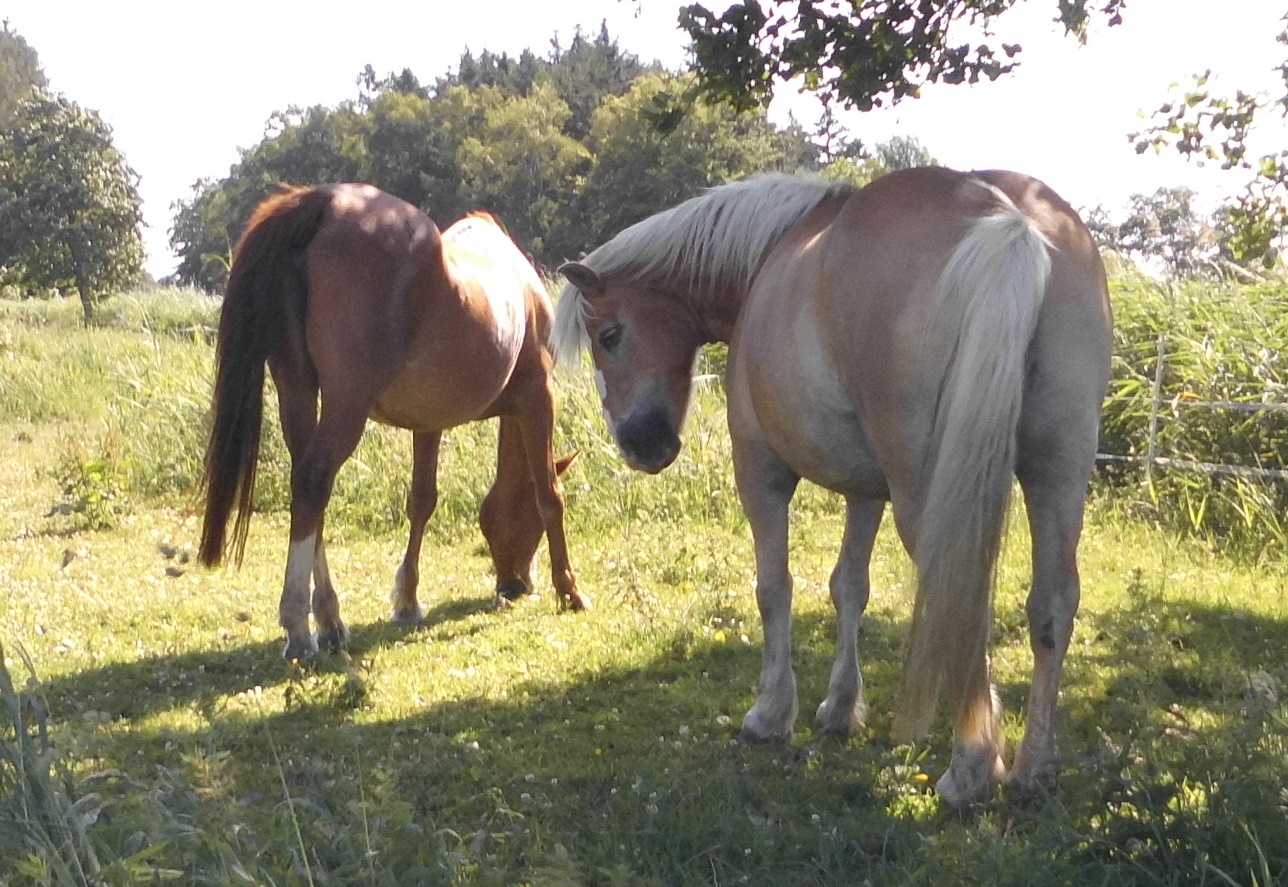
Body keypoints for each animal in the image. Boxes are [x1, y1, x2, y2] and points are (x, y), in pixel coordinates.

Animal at [198, 183, 589, 663]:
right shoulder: (538, 401)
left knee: (307, 489)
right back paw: (300, 628)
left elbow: (422, 500)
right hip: (346, 404)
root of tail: (324, 201)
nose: (514, 586)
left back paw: (329, 618)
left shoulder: (429, 422)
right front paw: (569, 590)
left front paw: (407, 599)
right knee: (313, 479)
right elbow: (549, 494)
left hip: (298, 390)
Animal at [553, 167, 1112, 808]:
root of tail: (1004, 218)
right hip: (1058, 475)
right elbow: (849, 587)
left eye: (609, 335)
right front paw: (841, 708)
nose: (639, 444)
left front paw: (771, 713)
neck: (768, 257)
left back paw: (970, 772)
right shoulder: (867, 489)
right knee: (1052, 603)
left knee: (959, 602)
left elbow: (774, 588)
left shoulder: (760, 470)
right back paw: (1032, 769)